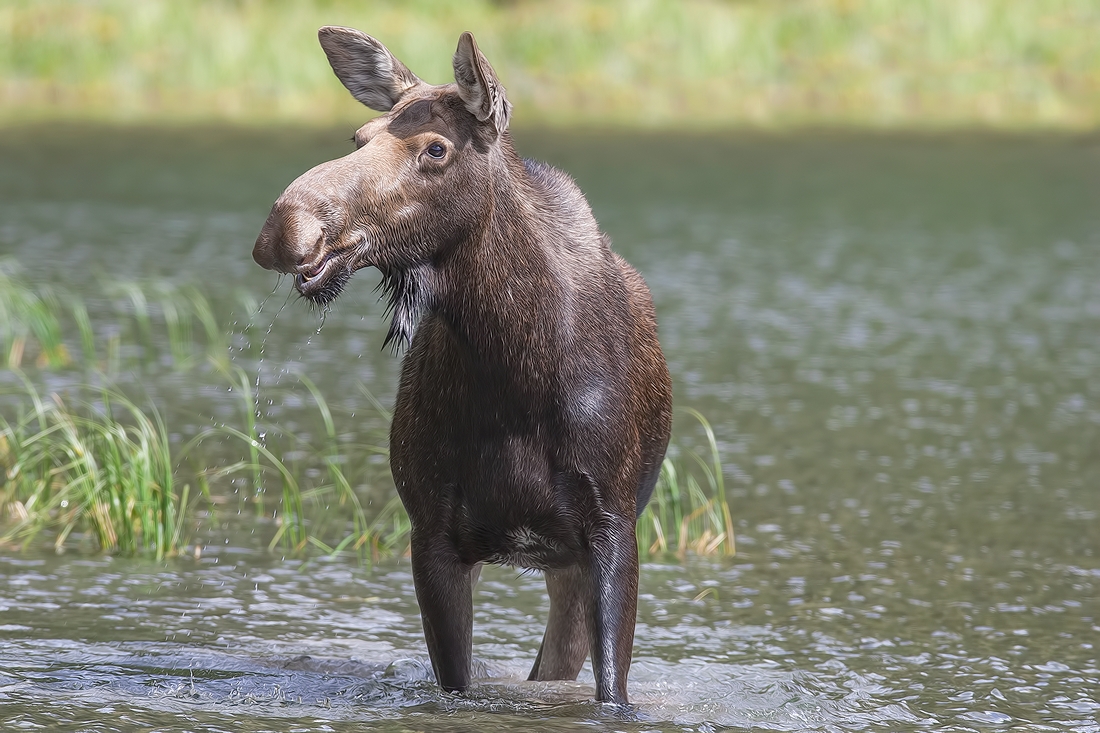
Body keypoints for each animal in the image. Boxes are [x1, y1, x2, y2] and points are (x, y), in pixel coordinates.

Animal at [253, 28, 673, 704]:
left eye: (436, 149)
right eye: (358, 138)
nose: (285, 228)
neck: (514, 369)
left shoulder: (611, 529)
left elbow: (612, 690)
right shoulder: (432, 532)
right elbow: (457, 683)